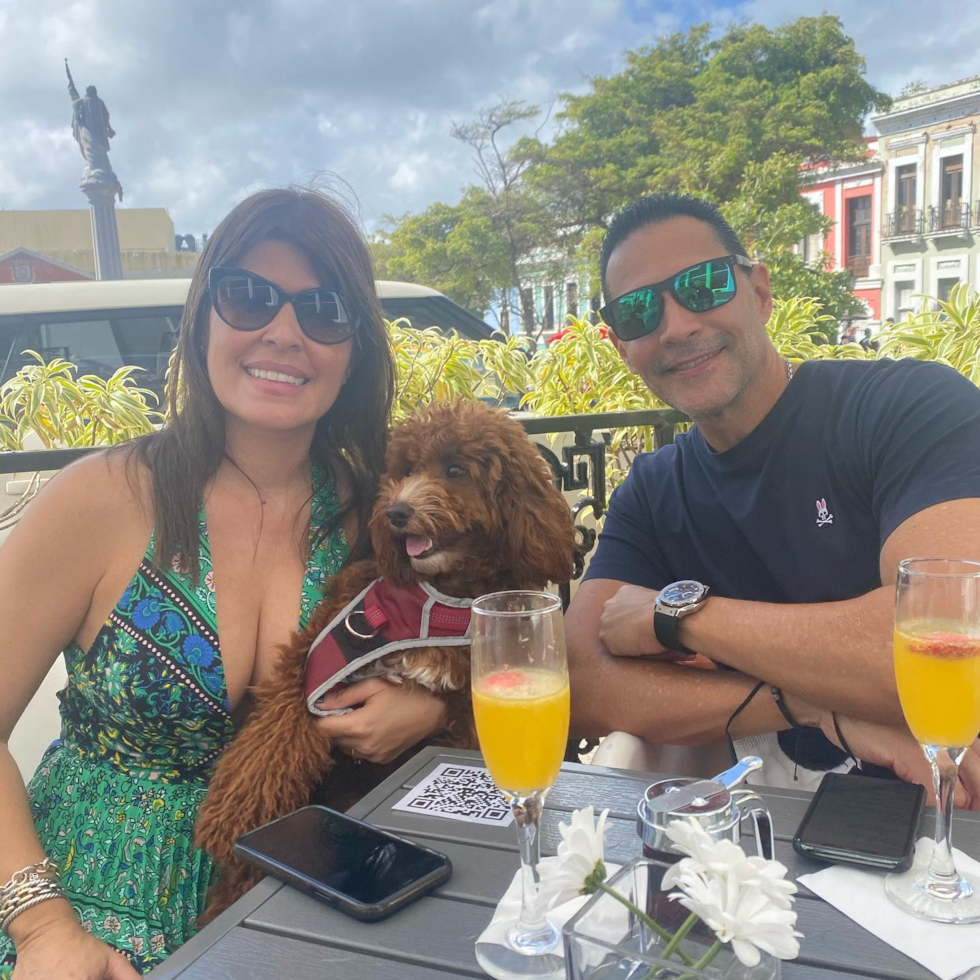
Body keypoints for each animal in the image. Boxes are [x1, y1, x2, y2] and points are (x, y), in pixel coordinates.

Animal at [193, 398, 576, 920]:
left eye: (455, 470)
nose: (396, 512)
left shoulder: (463, 715)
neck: (437, 599)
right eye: (405, 470)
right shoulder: (313, 658)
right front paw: (235, 816)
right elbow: (269, 742)